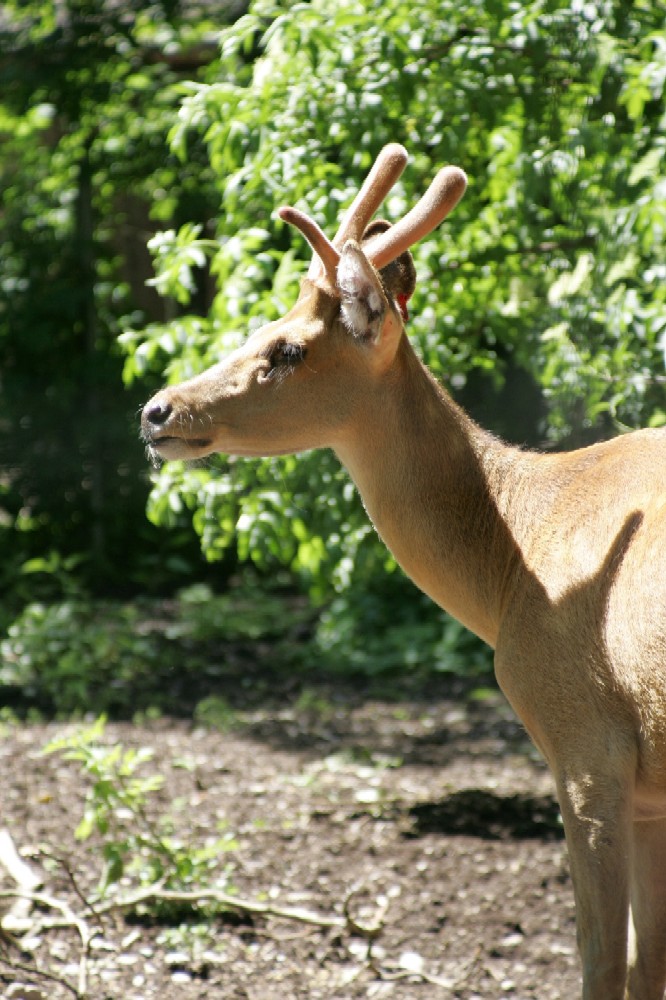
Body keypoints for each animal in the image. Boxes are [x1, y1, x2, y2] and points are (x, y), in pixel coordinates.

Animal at [143, 143, 664, 1000]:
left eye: (286, 350)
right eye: (262, 327)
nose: (157, 410)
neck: (516, 560)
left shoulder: (588, 741)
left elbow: (601, 957)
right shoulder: (650, 791)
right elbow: (648, 961)